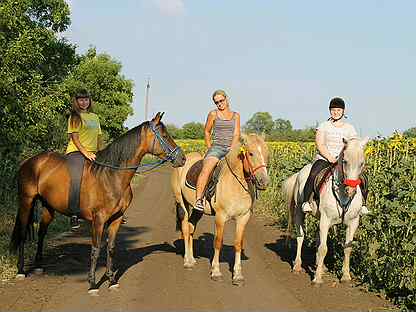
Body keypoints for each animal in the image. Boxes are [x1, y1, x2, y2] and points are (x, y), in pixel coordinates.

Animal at [8, 112, 184, 292]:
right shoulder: (98, 220)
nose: (182, 158)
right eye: (164, 135)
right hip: (26, 201)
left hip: (48, 206)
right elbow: (96, 249)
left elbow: (111, 248)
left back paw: (38, 266)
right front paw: (92, 283)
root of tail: (28, 162)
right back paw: (21, 270)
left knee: (42, 233)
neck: (112, 175)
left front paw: (111, 280)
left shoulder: (117, 218)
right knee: (22, 233)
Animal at [171, 134, 270, 286]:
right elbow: (218, 242)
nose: (264, 182)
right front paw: (216, 272)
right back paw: (187, 261)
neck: (236, 184)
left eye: (266, 153)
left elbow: (238, 243)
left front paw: (237, 275)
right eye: (251, 153)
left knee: (191, 227)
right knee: (186, 228)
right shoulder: (220, 217)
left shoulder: (243, 218)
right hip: (182, 203)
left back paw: (192, 259)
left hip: (197, 210)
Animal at [282, 138, 368, 284]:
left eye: (361, 163)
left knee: (317, 238)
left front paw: (346, 276)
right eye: (345, 161)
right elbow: (323, 248)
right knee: (300, 237)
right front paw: (317, 278)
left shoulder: (353, 222)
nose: (351, 190)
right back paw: (298, 266)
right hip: (299, 212)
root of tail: (300, 172)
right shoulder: (325, 220)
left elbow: (348, 248)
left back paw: (320, 266)